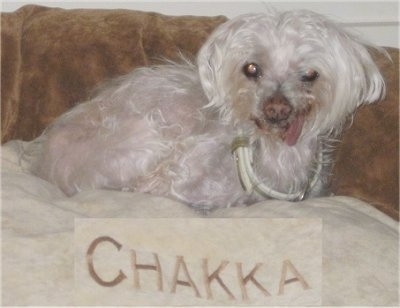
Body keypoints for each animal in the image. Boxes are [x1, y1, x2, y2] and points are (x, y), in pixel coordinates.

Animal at [28, 9, 384, 212]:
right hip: (144, 138)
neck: (271, 150)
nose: (276, 108)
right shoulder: (169, 178)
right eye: (251, 68)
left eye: (309, 74)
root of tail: (44, 163)